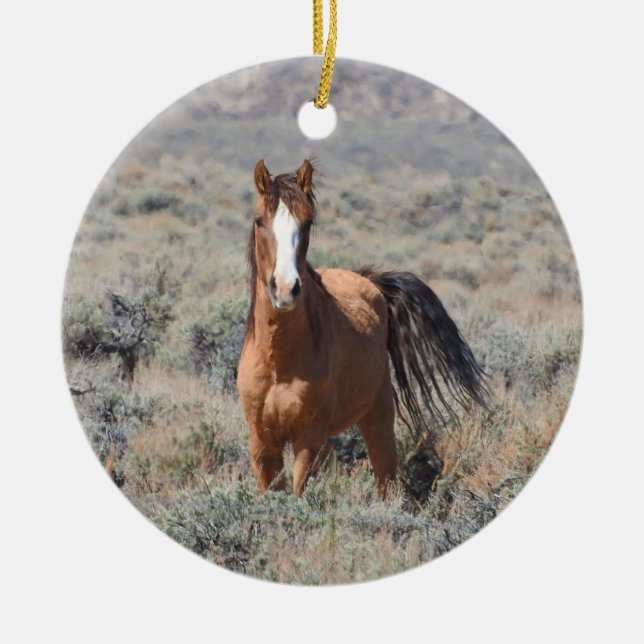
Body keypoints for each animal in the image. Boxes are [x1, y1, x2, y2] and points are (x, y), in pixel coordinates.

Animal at [236, 159, 488, 498]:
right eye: (259, 221)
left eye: (307, 222)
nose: (286, 288)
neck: (279, 360)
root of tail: (370, 281)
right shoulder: (262, 443)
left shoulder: (308, 440)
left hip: (378, 418)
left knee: (386, 480)